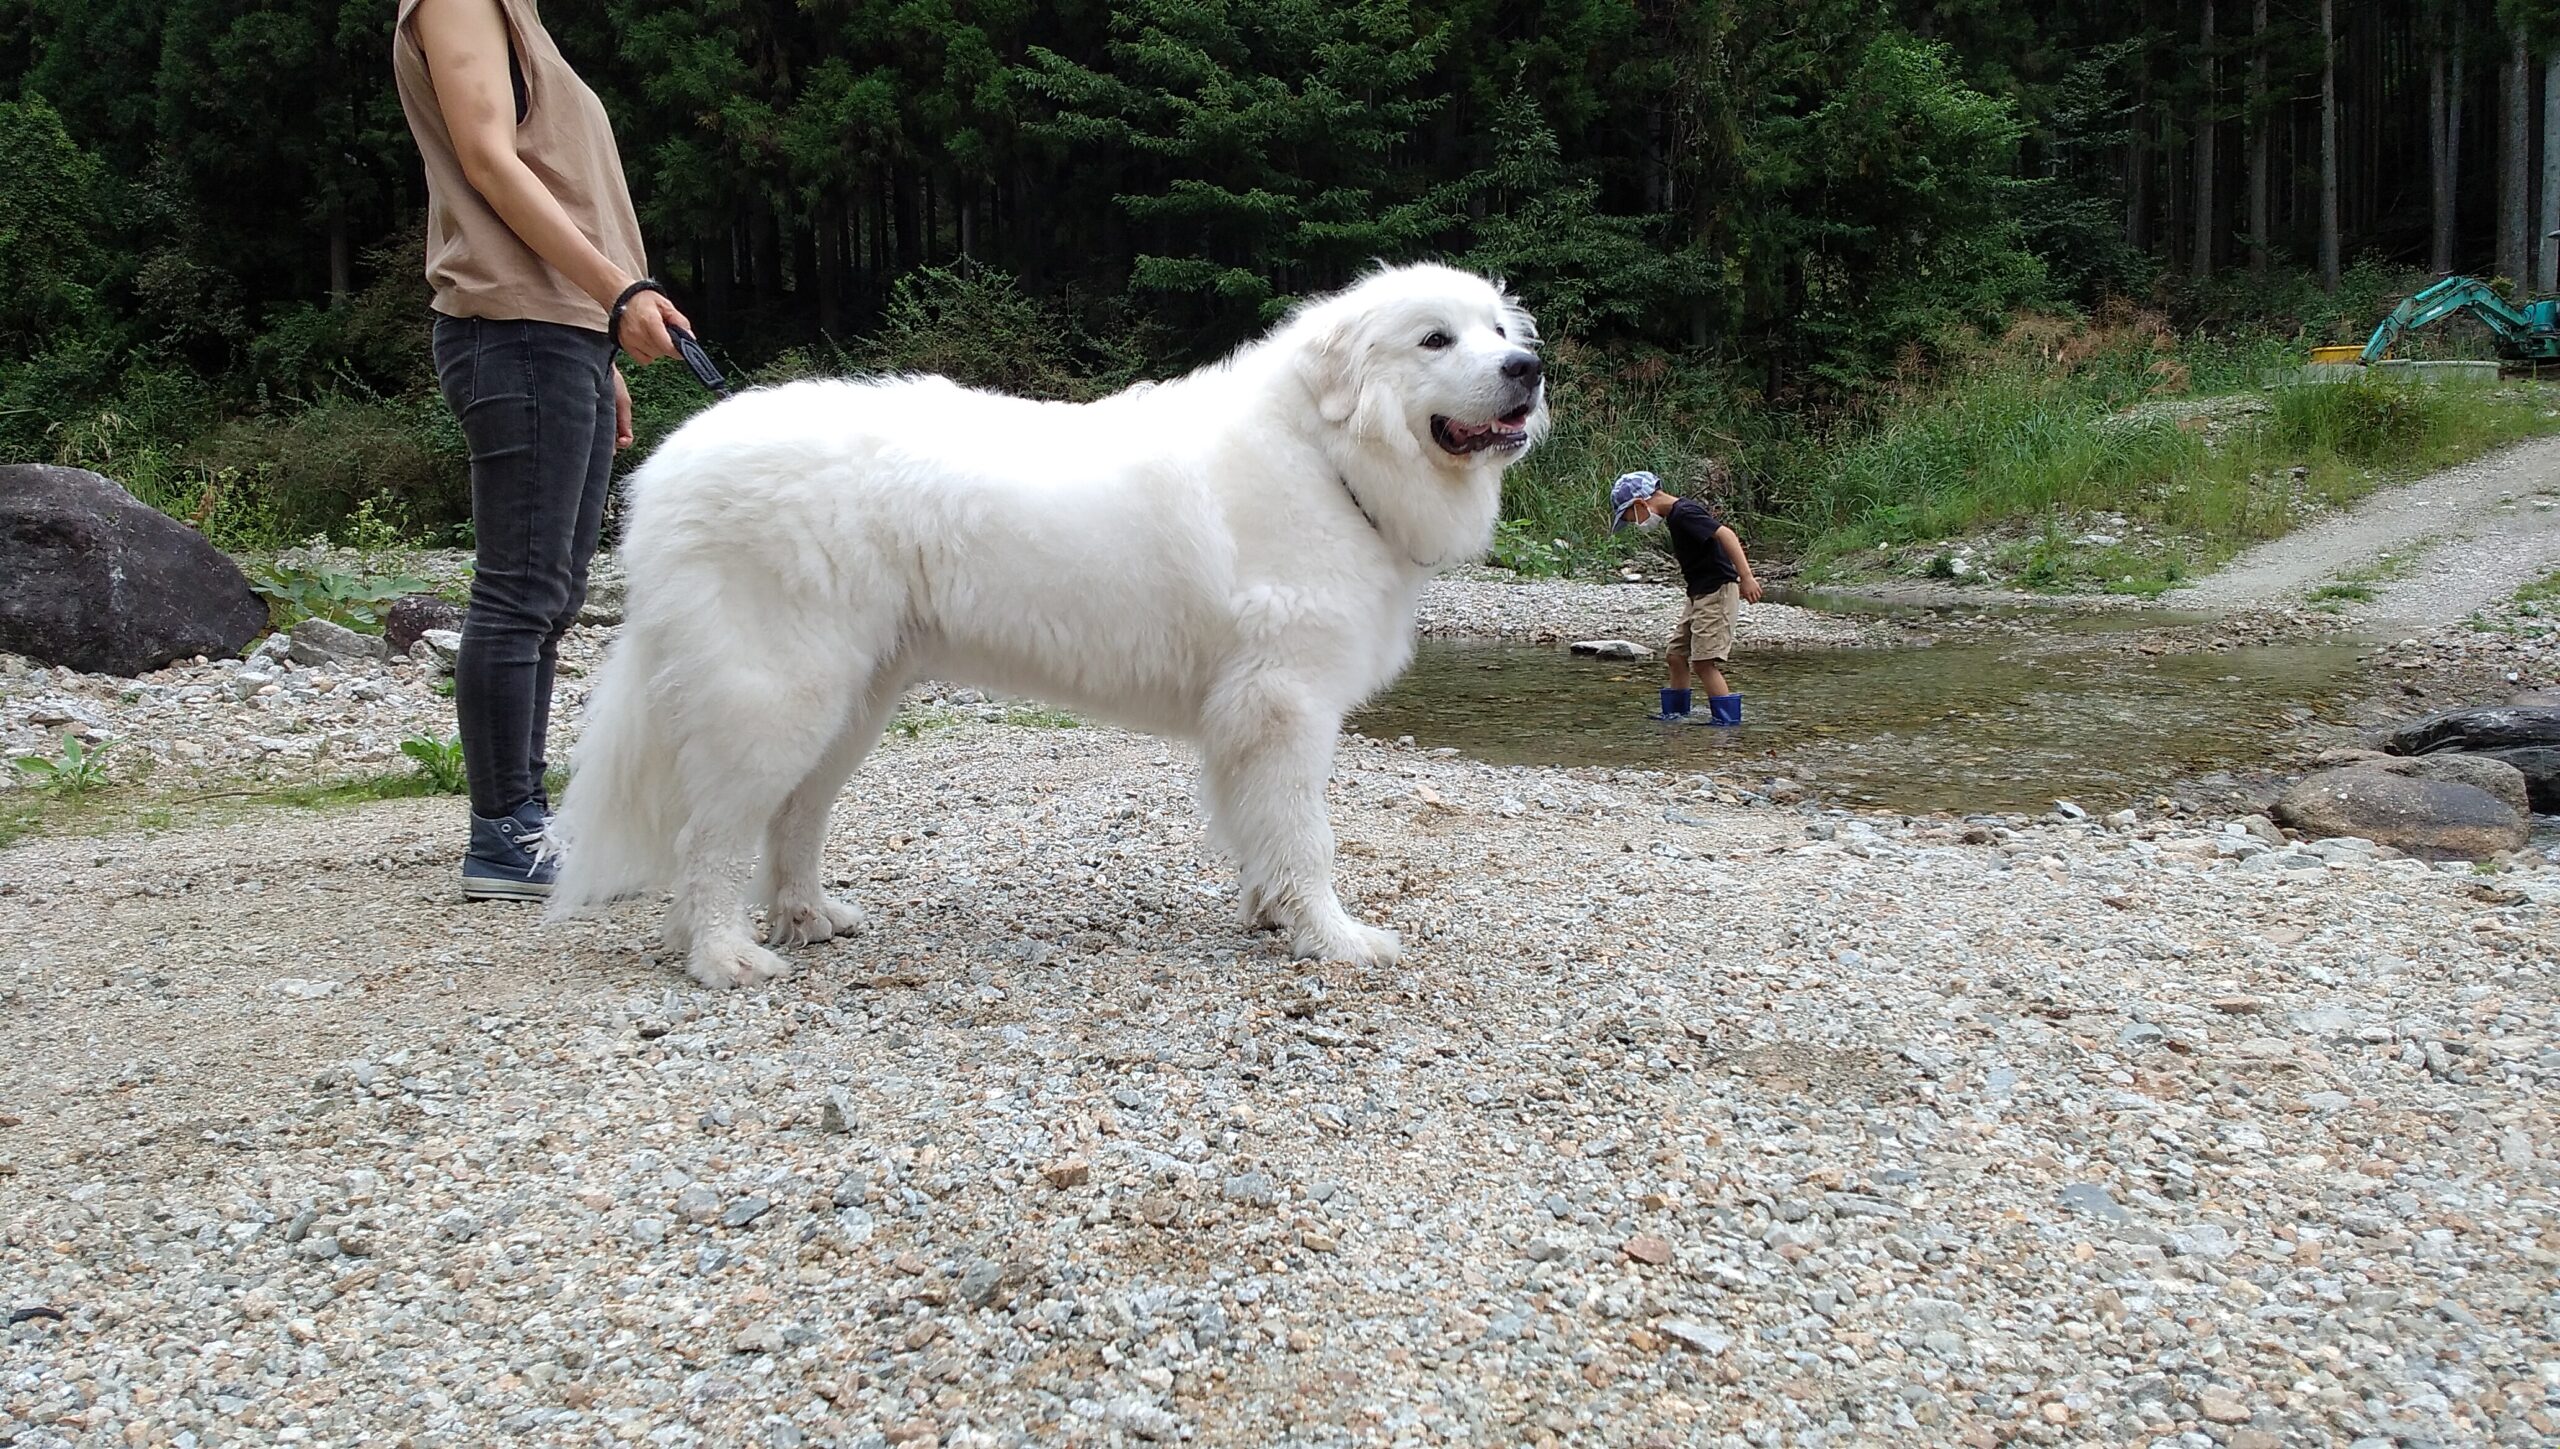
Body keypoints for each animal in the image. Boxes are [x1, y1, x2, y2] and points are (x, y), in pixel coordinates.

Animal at [552, 263, 1546, 988]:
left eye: (1499, 331)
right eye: (1434, 338)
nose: (1527, 371)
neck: (1328, 458)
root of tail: (671, 463)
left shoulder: (1250, 718)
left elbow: (1259, 829)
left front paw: (1273, 914)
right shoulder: (1285, 705)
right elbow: (1308, 835)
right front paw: (1333, 938)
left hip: (850, 702)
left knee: (792, 818)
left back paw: (808, 917)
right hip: (775, 693)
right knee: (710, 839)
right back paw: (721, 954)